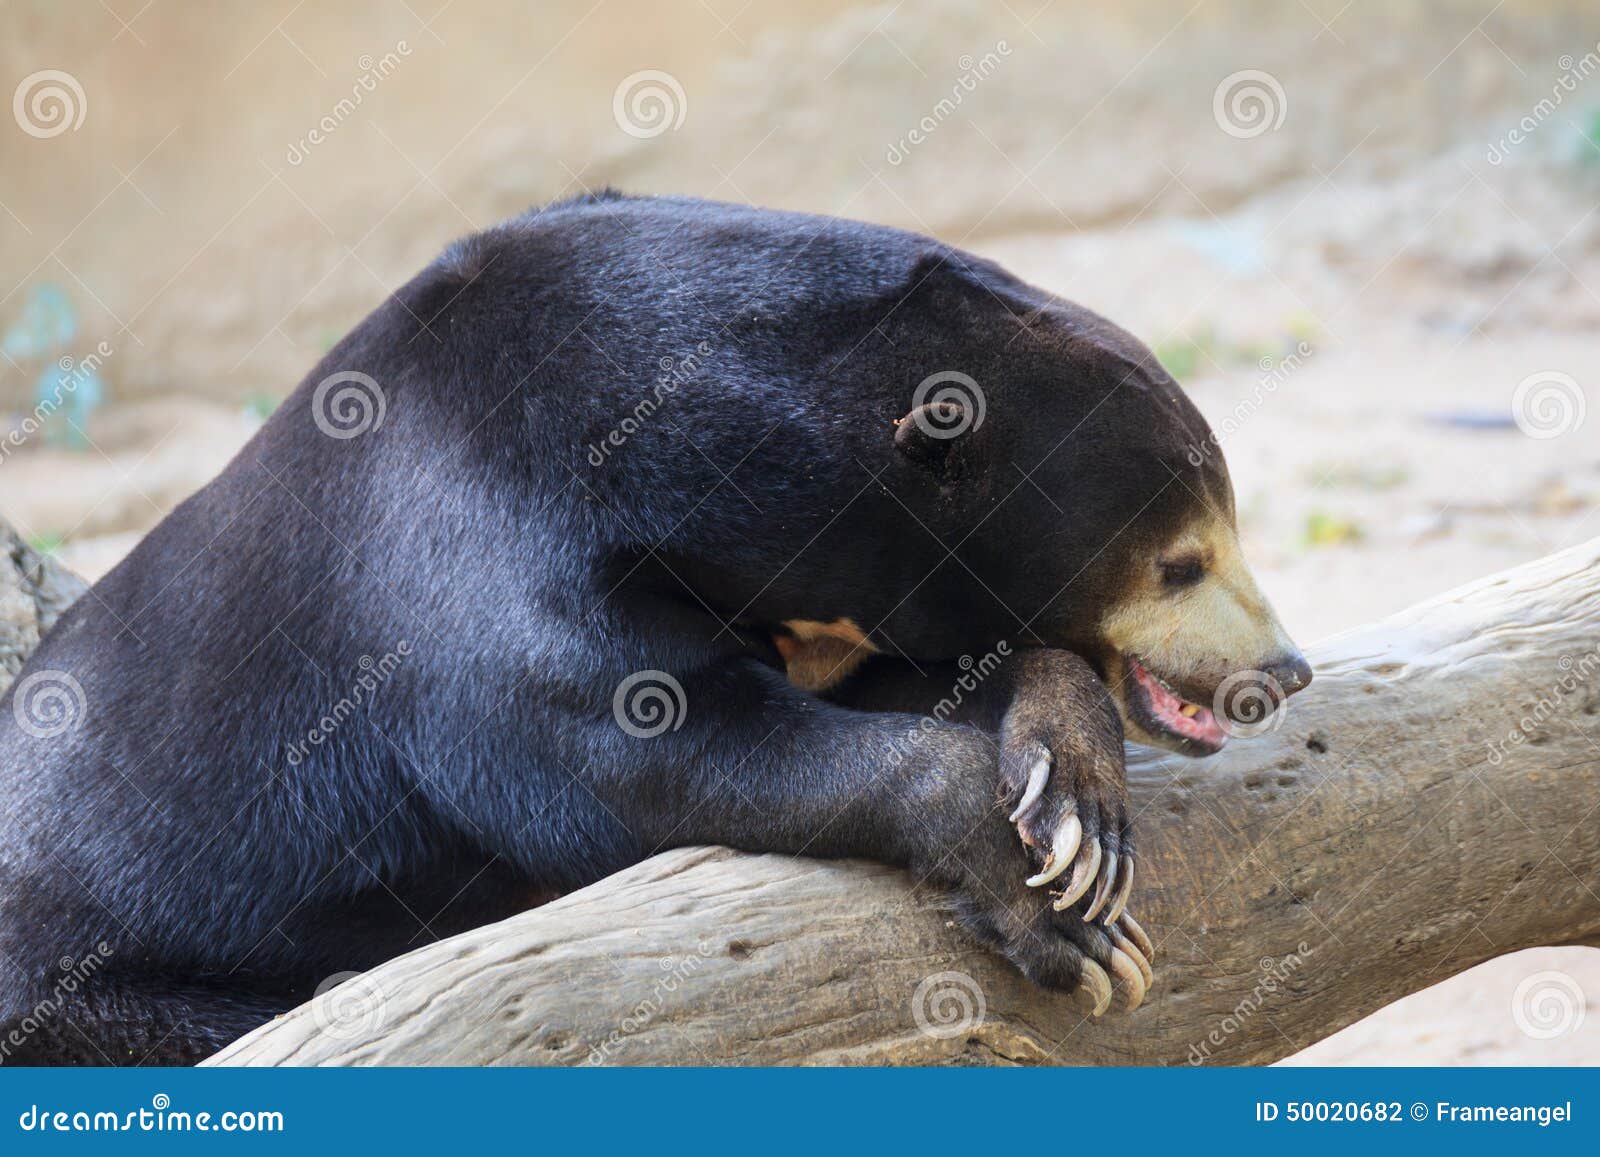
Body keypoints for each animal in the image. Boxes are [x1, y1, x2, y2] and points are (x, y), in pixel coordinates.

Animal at [0, 192, 1310, 1065]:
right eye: (1181, 559)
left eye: (1225, 525)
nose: (1280, 670)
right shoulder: (481, 552)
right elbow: (632, 754)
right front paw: (1074, 933)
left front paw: (1075, 815)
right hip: (107, 982)